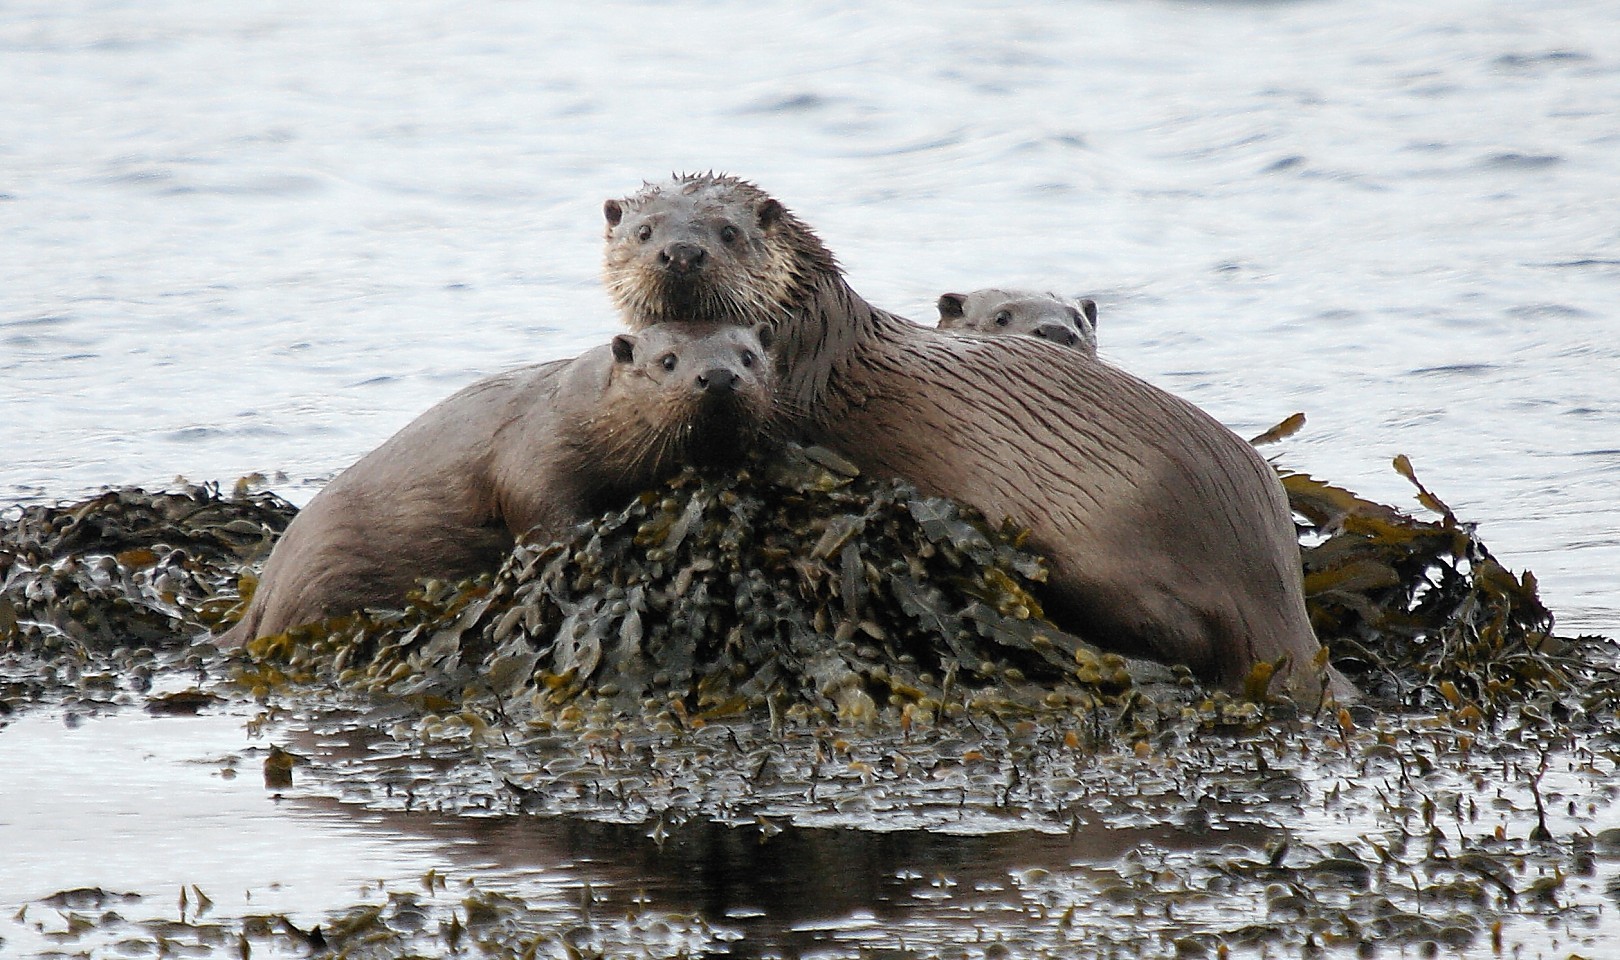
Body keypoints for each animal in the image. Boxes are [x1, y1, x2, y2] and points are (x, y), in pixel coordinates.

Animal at [218, 320, 774, 644]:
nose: (718, 376)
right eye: (668, 361)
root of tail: (266, 592)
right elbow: (542, 515)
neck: (583, 413)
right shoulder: (536, 456)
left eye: (748, 357)